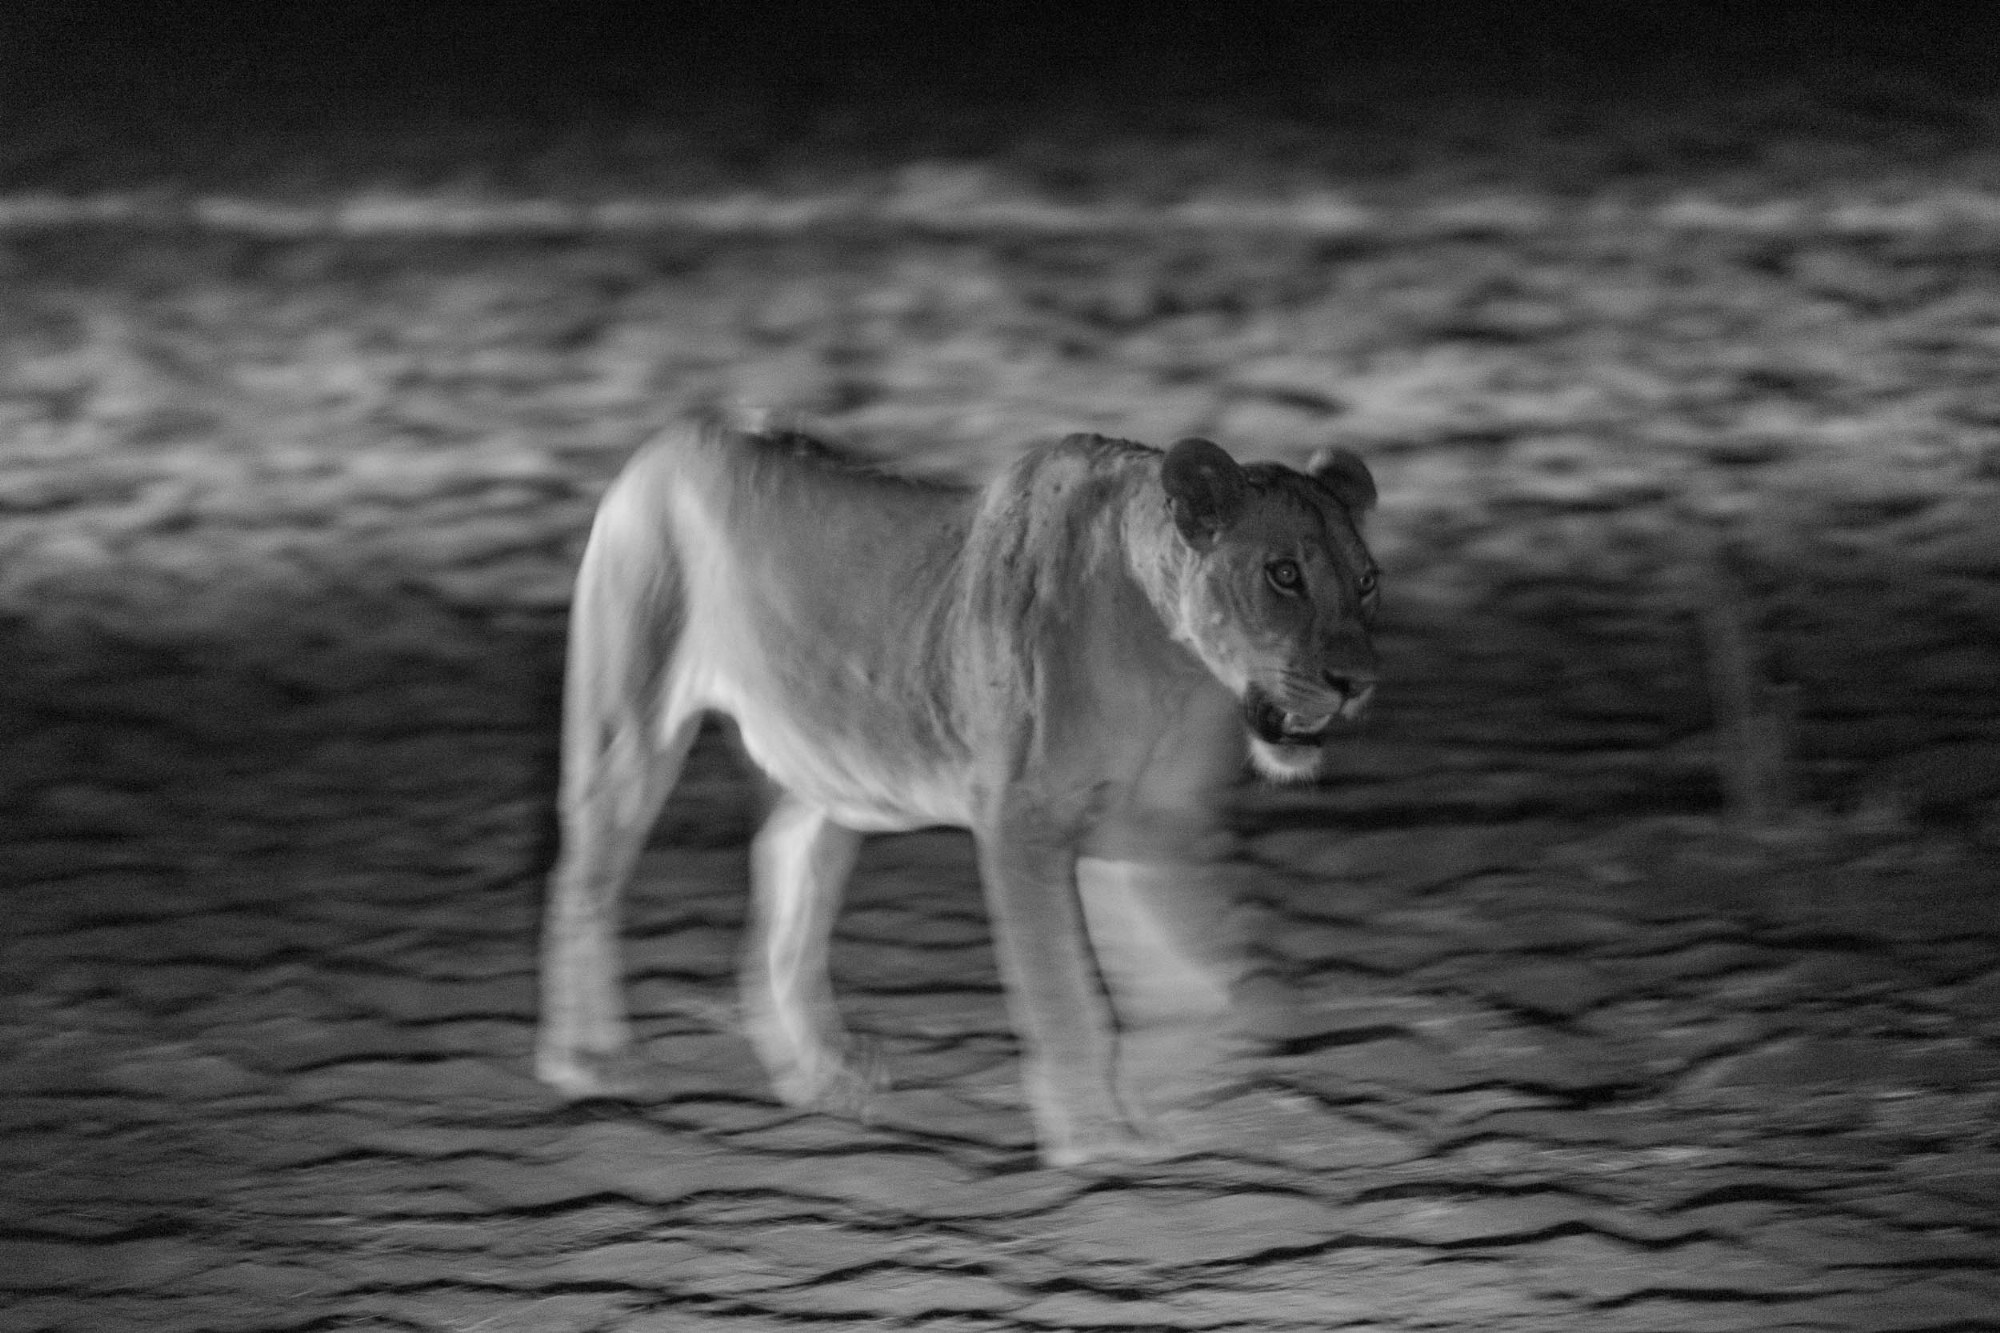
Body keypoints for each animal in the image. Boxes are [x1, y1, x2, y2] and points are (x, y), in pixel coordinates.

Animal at [537, 422, 1380, 1166]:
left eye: (1367, 581)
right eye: (1284, 573)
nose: (1358, 682)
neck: (1174, 663)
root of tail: (668, 442)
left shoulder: (1149, 830)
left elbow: (1248, 1001)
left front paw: (1148, 1091)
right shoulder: (1022, 823)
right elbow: (1061, 993)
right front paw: (1095, 1137)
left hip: (832, 776)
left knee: (780, 889)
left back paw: (820, 1075)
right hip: (629, 723)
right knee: (582, 878)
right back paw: (588, 1063)